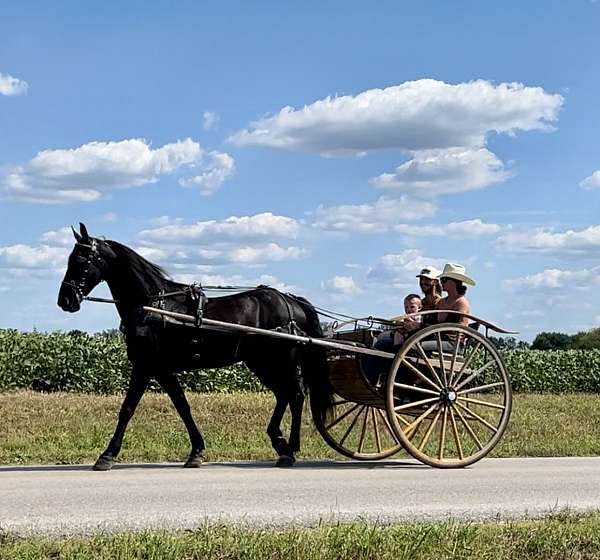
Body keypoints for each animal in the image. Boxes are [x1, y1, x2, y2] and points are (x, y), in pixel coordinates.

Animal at [57, 222, 332, 468]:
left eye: (80, 260)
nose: (65, 300)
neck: (154, 306)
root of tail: (291, 301)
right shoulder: (163, 370)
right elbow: (182, 406)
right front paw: (197, 451)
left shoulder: (145, 367)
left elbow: (127, 408)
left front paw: (107, 455)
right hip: (261, 363)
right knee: (286, 395)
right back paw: (282, 443)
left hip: (278, 361)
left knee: (294, 395)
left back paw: (289, 447)